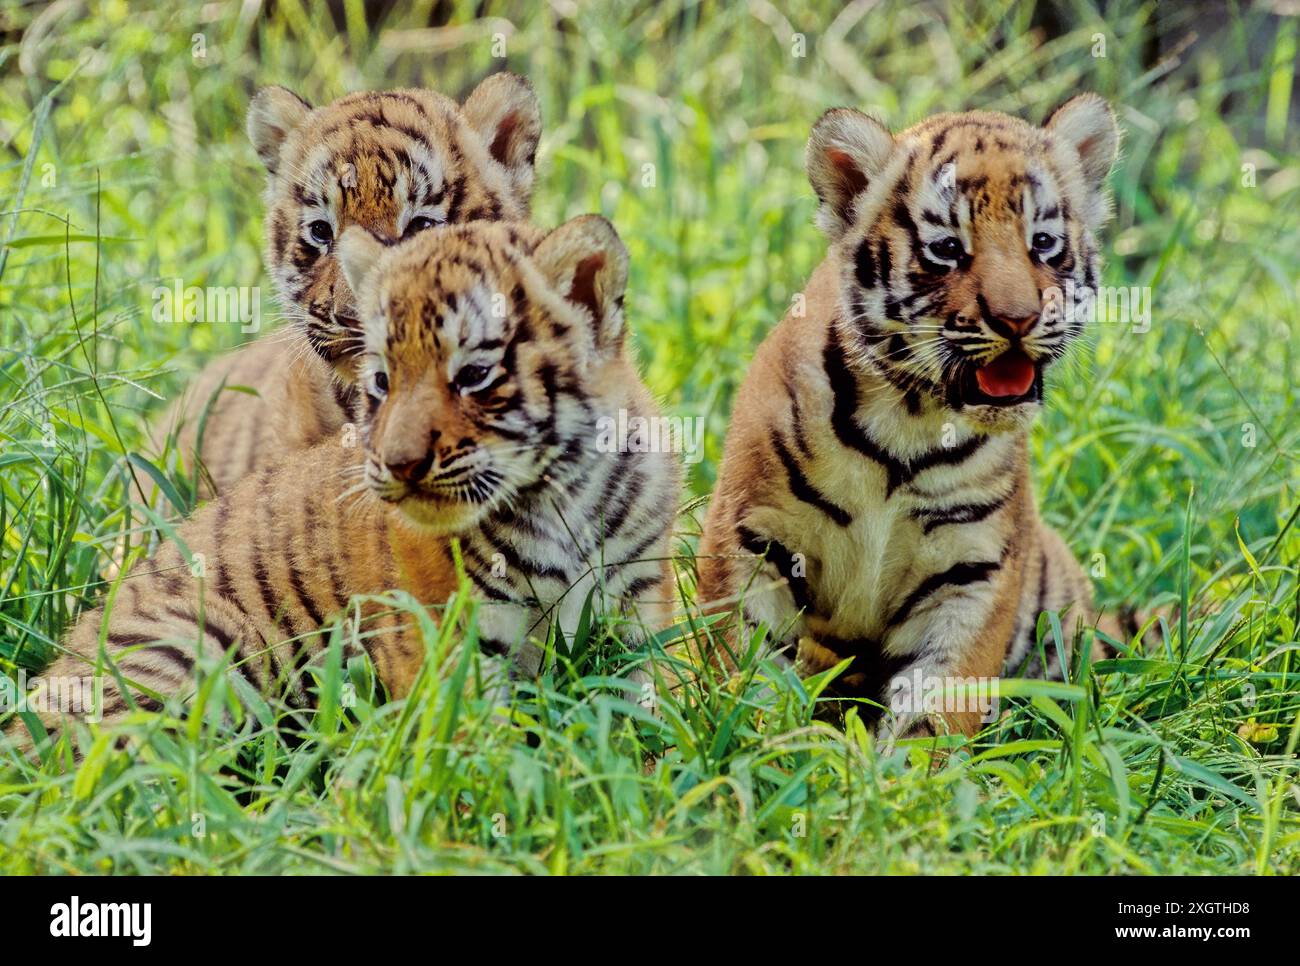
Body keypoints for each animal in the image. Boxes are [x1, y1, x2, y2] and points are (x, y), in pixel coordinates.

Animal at [7, 217, 680, 754]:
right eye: (382, 380)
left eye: (474, 375)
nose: (398, 464)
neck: (562, 498)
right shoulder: (447, 648)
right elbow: (481, 754)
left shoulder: (639, 606)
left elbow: (656, 711)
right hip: (198, 642)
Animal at [696, 94, 1121, 740]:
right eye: (947, 249)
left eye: (1043, 243)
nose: (1018, 319)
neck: (910, 419)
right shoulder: (751, 537)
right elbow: (740, 669)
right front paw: (754, 745)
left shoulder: (972, 572)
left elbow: (933, 711)